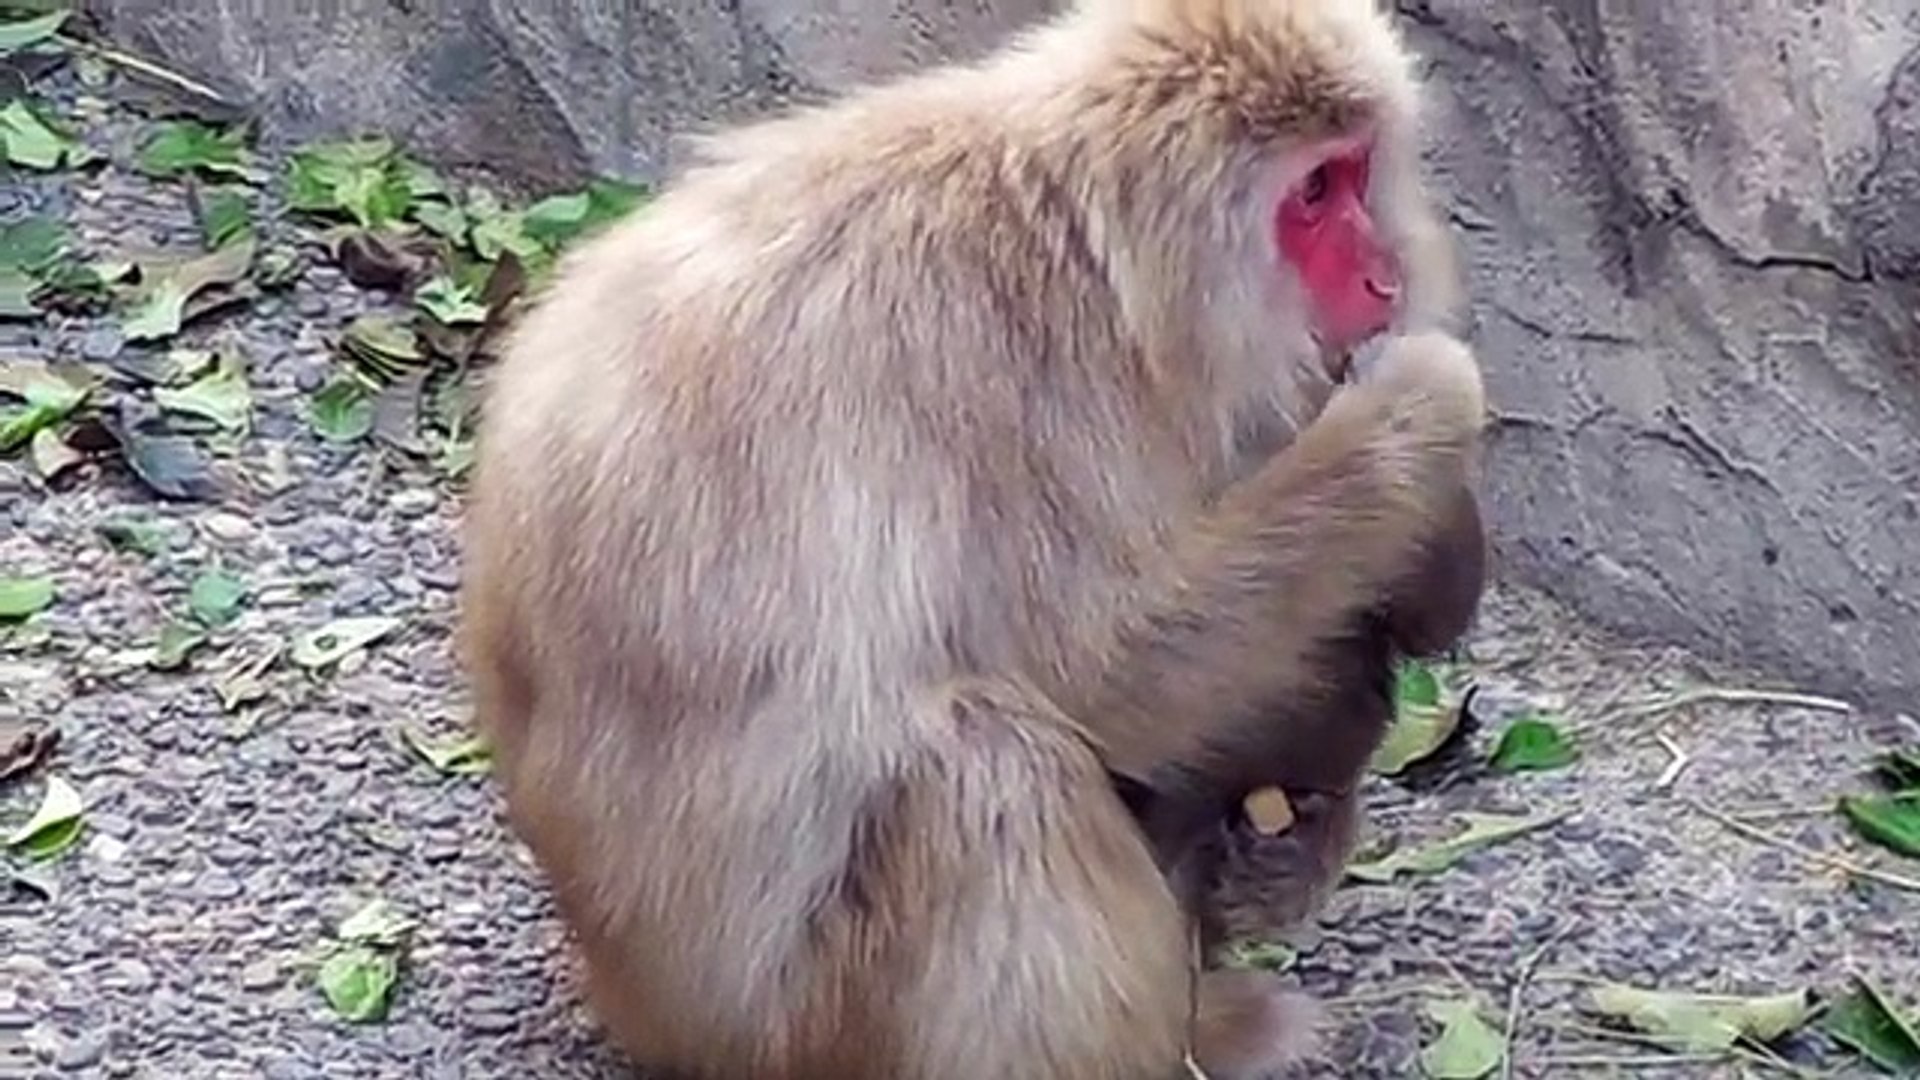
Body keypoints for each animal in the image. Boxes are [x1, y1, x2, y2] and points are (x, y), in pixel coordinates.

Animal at [458, 0, 1482, 1077]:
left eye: (1360, 170)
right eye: (1314, 192)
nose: (1385, 275)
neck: (1087, 254)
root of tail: (627, 998)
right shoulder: (1011, 371)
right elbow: (1100, 670)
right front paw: (1421, 409)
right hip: (794, 1027)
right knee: (991, 768)